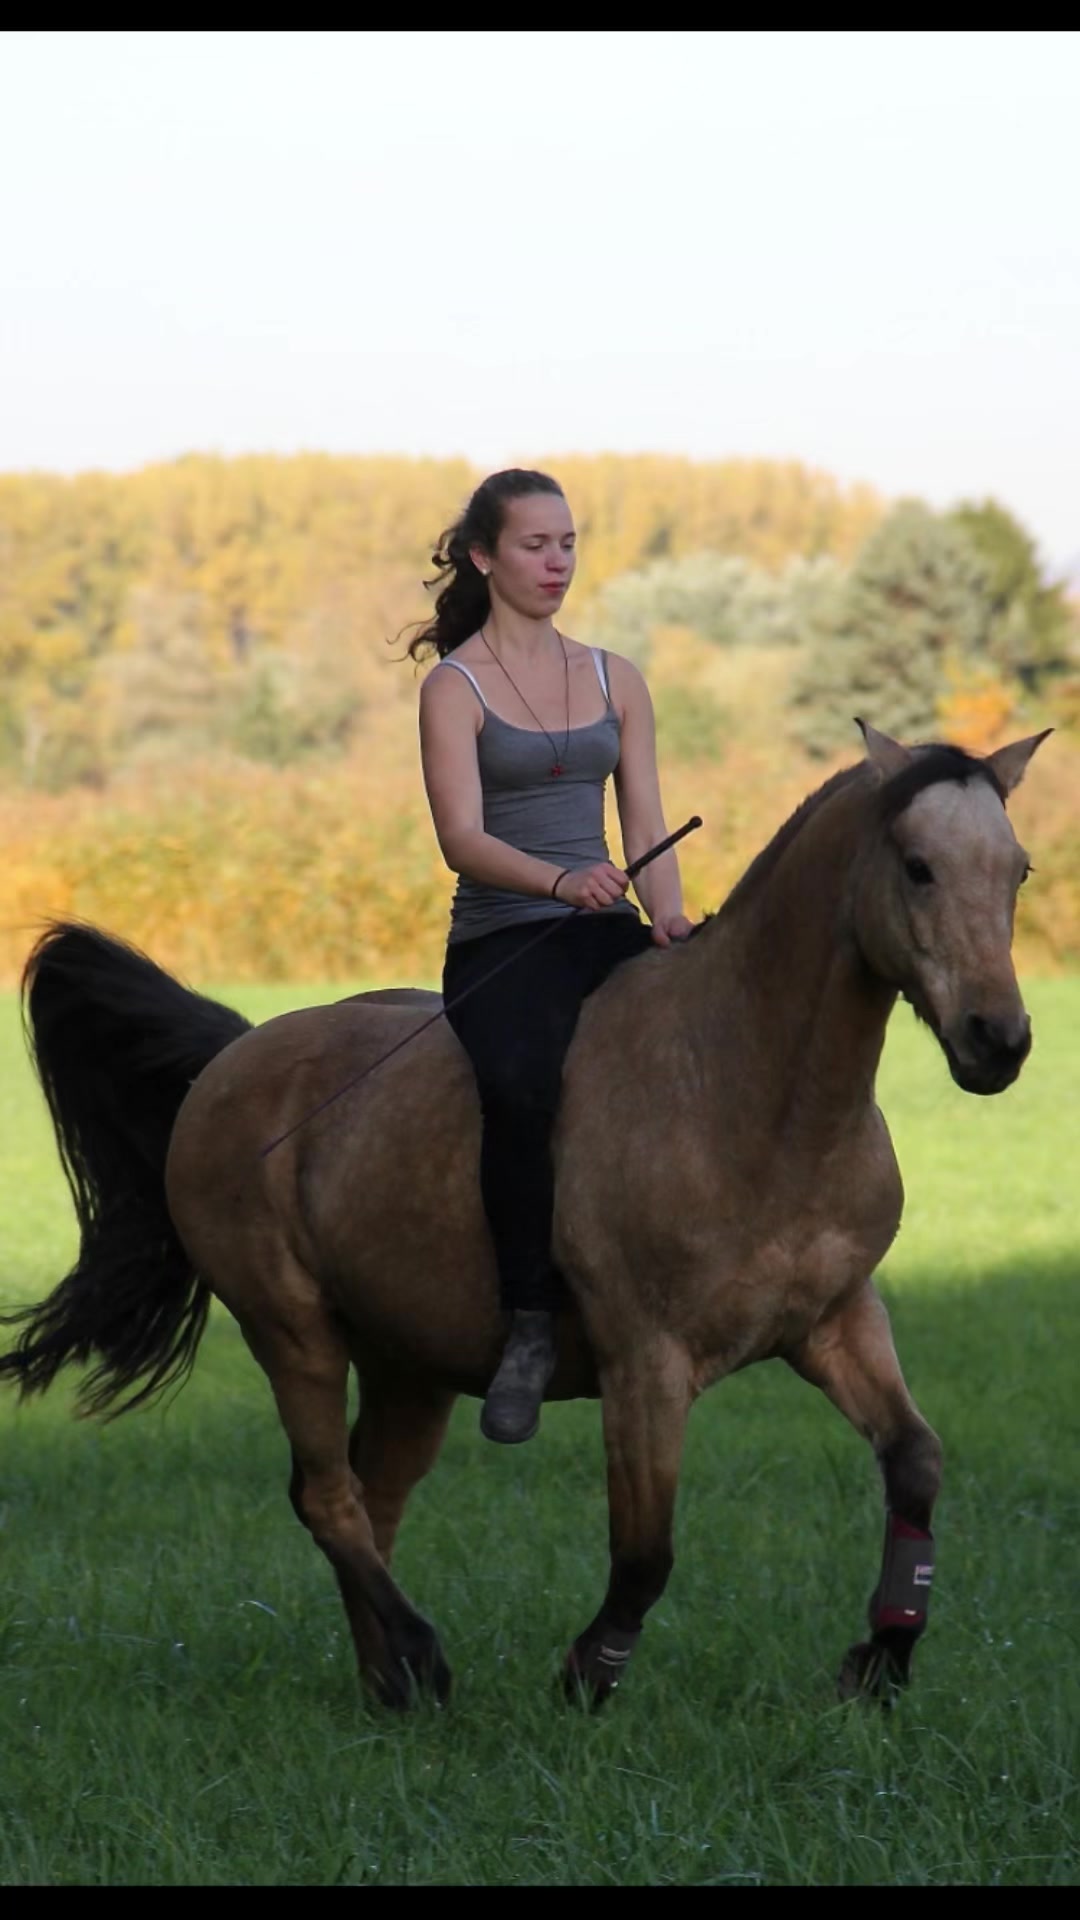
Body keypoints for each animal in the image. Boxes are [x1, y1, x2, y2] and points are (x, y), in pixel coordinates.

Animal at [0, 721, 1049, 1711]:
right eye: (917, 866)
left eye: (1019, 870)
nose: (998, 1041)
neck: (747, 1092)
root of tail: (233, 1056)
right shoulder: (645, 1366)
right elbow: (645, 1551)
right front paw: (588, 1674)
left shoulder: (837, 1323)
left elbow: (916, 1462)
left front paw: (882, 1661)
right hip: (290, 1332)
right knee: (327, 1498)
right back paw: (422, 1658)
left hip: (408, 1366)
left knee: (369, 1498)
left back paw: (390, 1685)